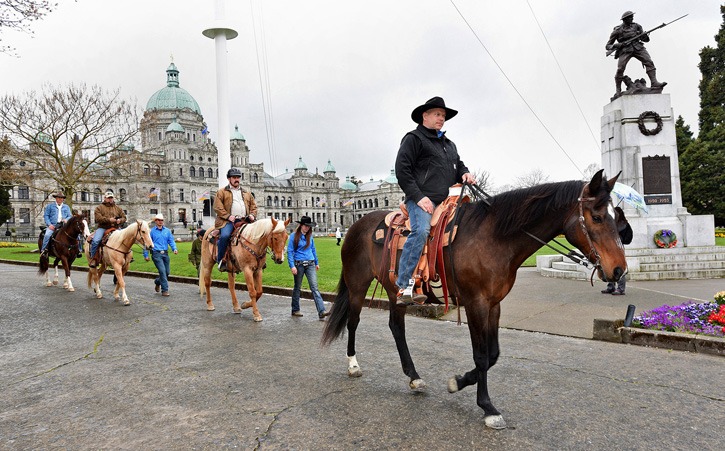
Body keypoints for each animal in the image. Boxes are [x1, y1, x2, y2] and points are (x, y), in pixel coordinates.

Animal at [320, 170, 624, 430]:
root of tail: (357, 224)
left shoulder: (494, 304)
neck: (493, 237)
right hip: (357, 285)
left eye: (616, 215)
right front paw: (487, 407)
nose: (619, 270)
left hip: (396, 293)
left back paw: (414, 377)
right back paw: (353, 365)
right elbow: (481, 355)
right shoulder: (475, 304)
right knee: (354, 322)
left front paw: (458, 382)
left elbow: (492, 354)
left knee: (396, 327)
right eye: (597, 217)